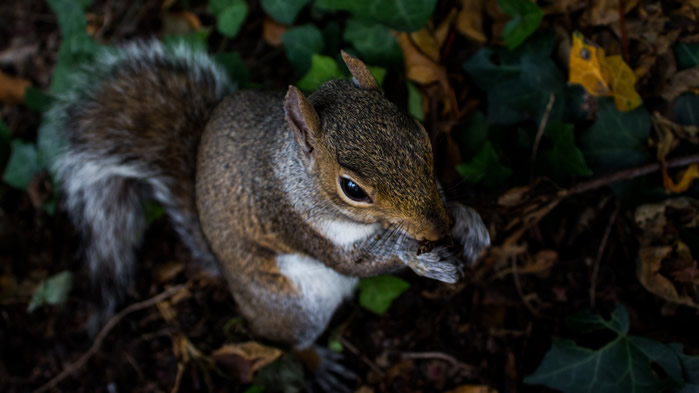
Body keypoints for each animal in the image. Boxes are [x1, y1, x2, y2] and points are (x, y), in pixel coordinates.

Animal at [49, 38, 490, 376]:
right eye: (352, 189)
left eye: (421, 135)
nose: (436, 229)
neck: (299, 176)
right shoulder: (293, 221)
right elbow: (354, 263)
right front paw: (420, 259)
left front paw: (467, 222)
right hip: (293, 308)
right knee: (288, 344)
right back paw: (318, 364)